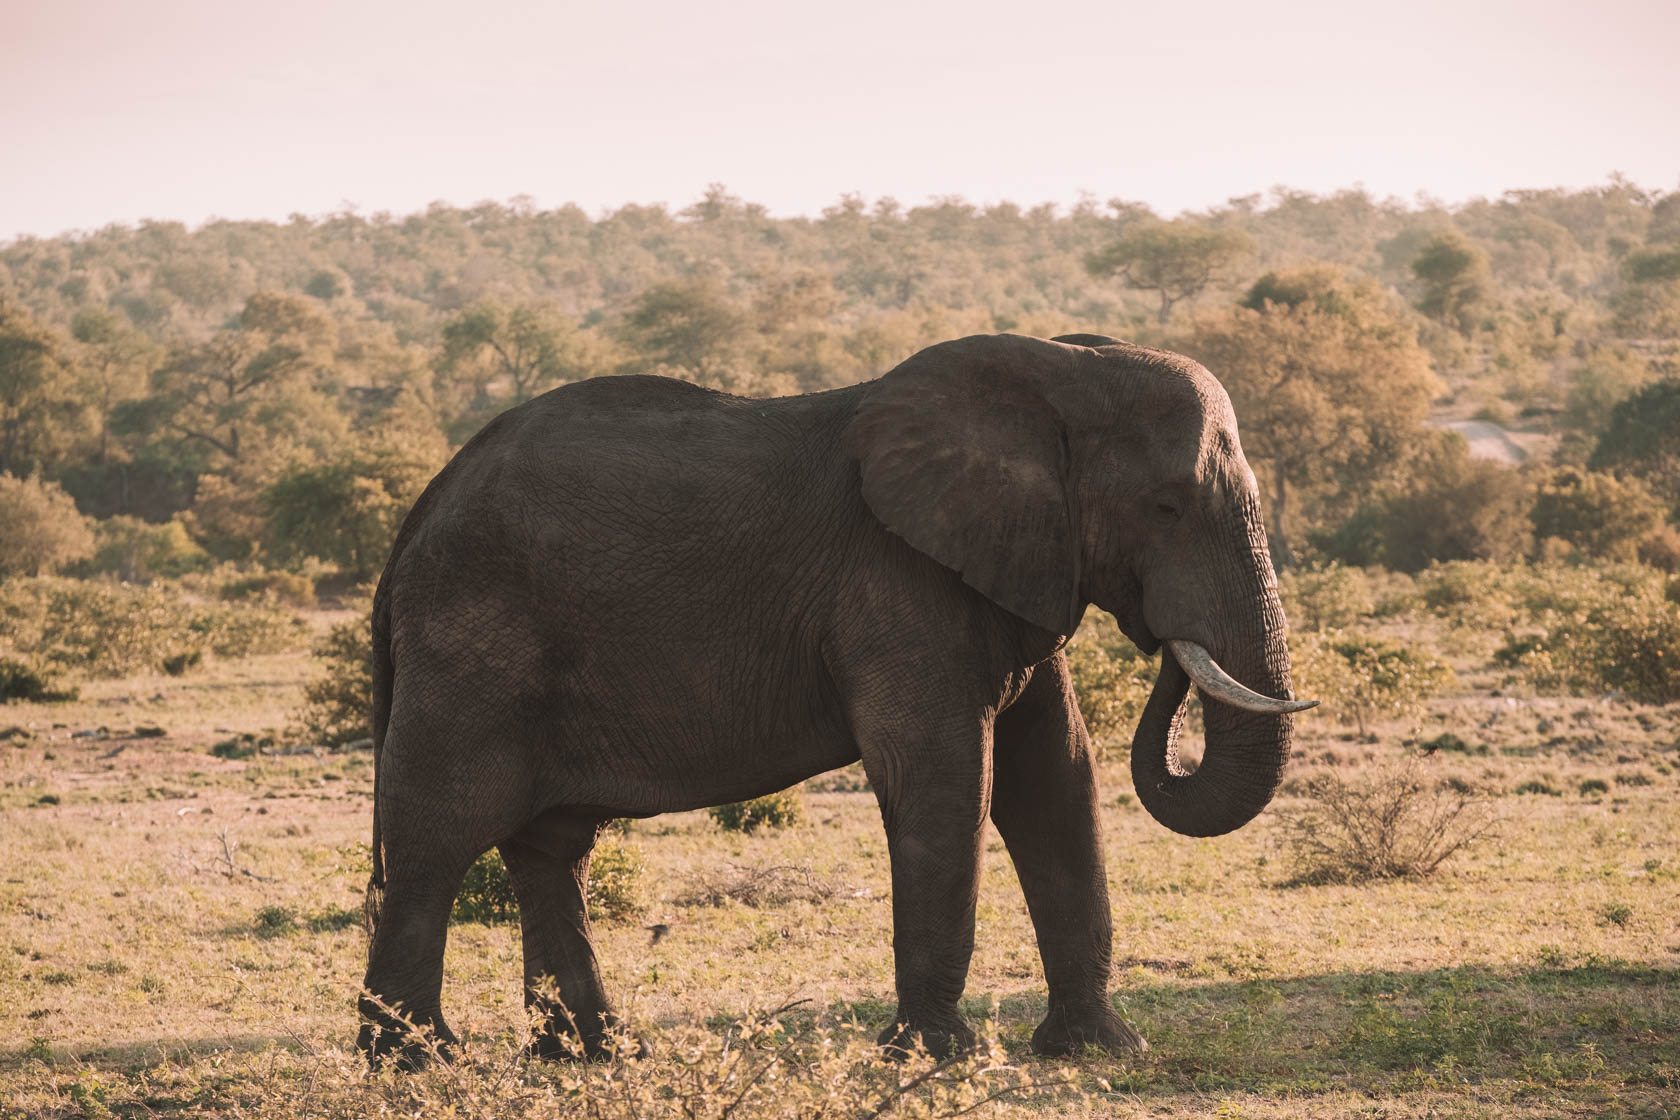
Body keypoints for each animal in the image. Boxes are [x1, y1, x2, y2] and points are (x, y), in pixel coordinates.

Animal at [361, 330, 1317, 1067]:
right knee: (437, 841)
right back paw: (418, 1063)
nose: (1165, 644)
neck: (1058, 367)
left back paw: (596, 1056)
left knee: (548, 849)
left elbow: (1055, 780)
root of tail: (415, 520)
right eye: (1167, 507)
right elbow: (947, 783)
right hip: (473, 646)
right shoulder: (898, 582)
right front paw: (935, 1058)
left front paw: (1098, 1051)